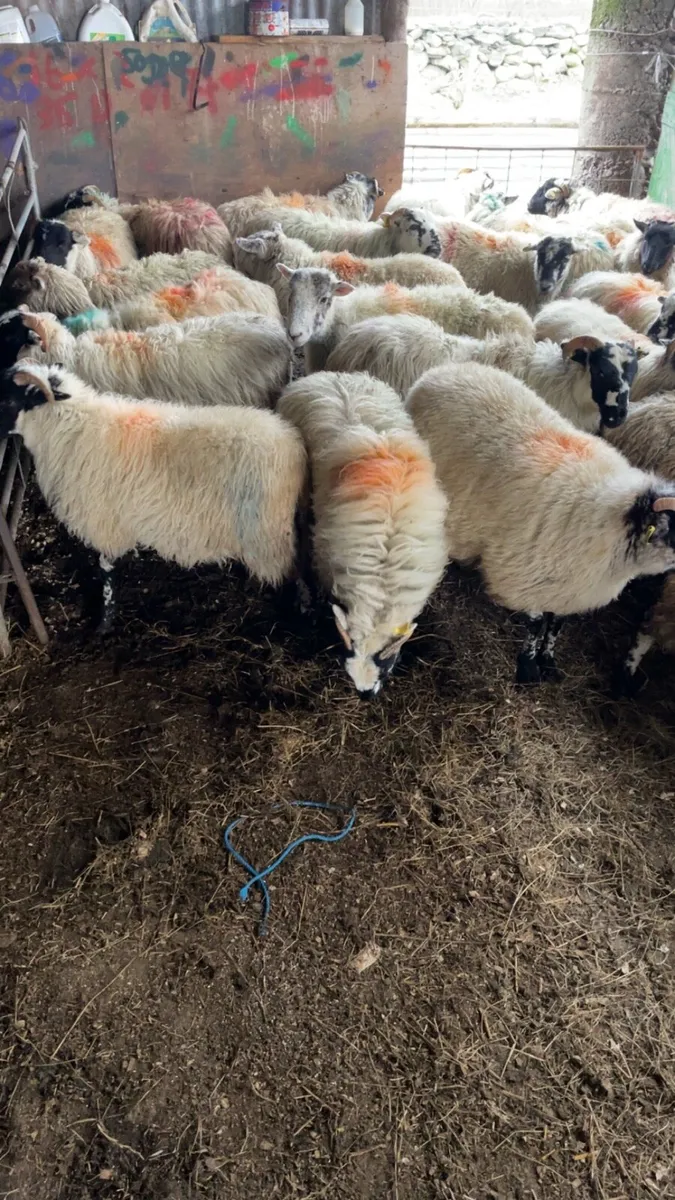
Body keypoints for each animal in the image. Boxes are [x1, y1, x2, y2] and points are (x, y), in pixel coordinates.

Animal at [0, 360, 308, 633]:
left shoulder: (103, 521)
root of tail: (292, 444)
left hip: (269, 531)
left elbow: (106, 570)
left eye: (7, 400)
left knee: (292, 572)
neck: (71, 429)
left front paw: (104, 624)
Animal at [406, 362, 675, 684]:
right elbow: (535, 624)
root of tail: (448, 368)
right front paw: (529, 667)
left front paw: (549, 662)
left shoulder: (572, 586)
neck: (617, 519)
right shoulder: (526, 574)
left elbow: (556, 624)